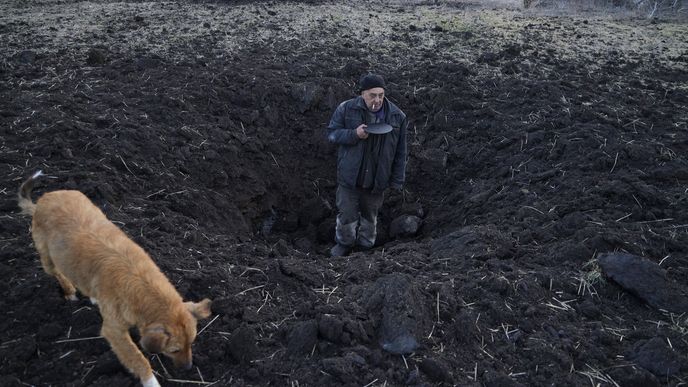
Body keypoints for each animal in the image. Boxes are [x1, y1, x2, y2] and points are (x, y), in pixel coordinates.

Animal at [19, 172, 212, 387]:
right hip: (47, 258)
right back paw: (70, 292)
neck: (141, 281)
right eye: (175, 350)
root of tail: (41, 201)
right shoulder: (113, 331)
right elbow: (138, 359)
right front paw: (150, 381)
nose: (188, 368)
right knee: (59, 274)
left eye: (191, 343)